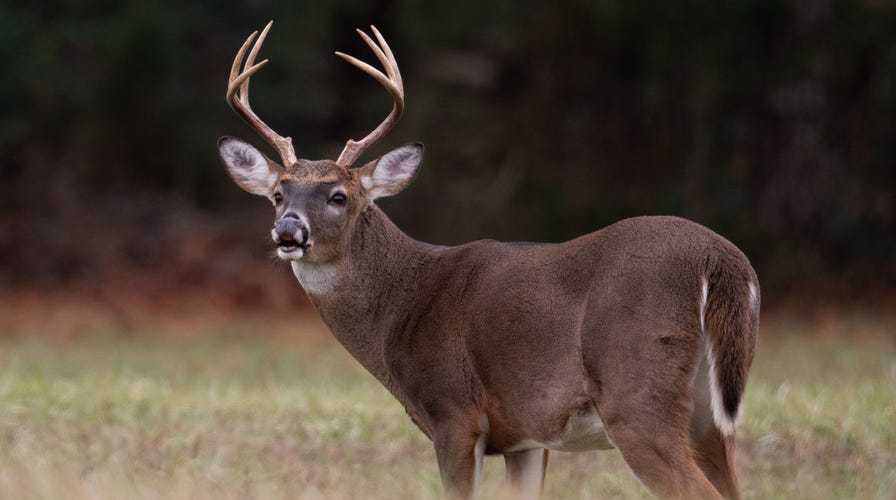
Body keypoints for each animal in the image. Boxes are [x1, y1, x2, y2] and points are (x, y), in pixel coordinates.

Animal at [215, 21, 756, 498]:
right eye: (278, 194)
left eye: (338, 196)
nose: (288, 232)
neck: (400, 308)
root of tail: (721, 260)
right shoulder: (525, 438)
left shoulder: (454, 412)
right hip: (709, 414)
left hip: (637, 394)